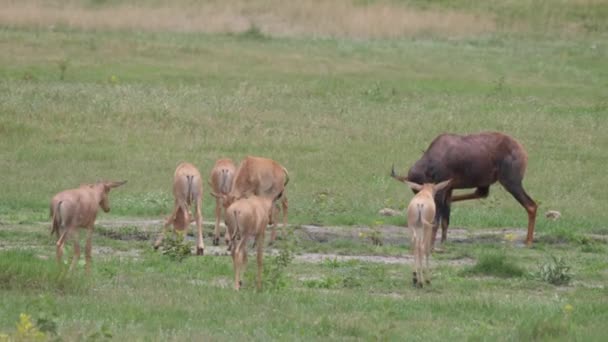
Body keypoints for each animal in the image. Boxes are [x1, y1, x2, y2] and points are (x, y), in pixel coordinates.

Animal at [390, 132, 536, 247]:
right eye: (416, 192)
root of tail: (520, 149)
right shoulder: (448, 189)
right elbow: (445, 220)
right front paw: (443, 242)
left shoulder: (441, 191)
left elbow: (436, 221)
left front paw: (431, 246)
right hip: (486, 183)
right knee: (480, 194)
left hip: (511, 183)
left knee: (531, 205)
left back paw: (528, 241)